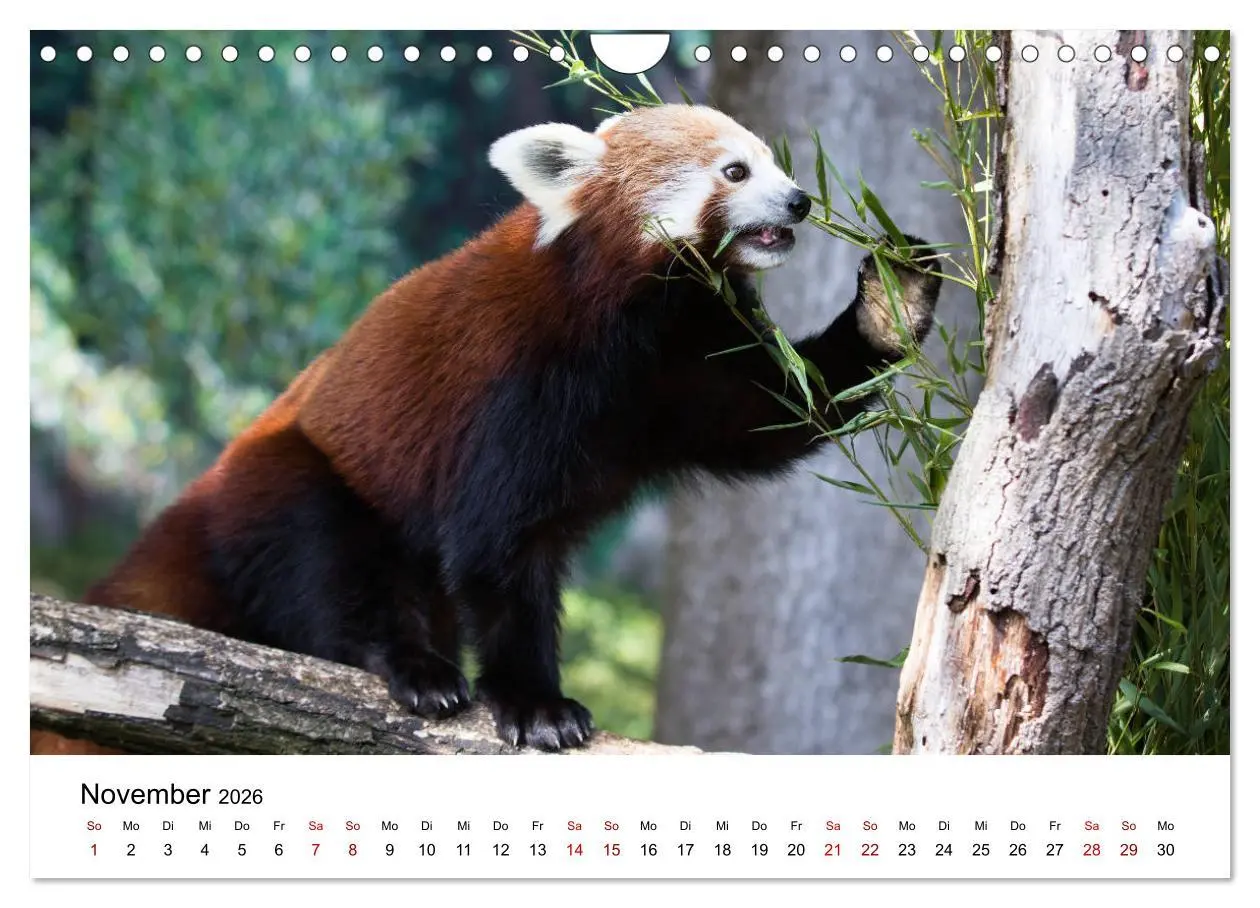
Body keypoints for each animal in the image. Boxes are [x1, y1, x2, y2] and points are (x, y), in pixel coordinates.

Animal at [34, 103, 941, 754]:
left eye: (775, 159)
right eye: (735, 168)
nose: (801, 198)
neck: (640, 319)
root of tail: (200, 497)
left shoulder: (684, 364)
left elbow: (774, 416)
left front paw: (891, 305)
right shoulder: (520, 383)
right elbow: (499, 545)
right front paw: (537, 703)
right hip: (296, 473)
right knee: (327, 562)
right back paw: (410, 665)